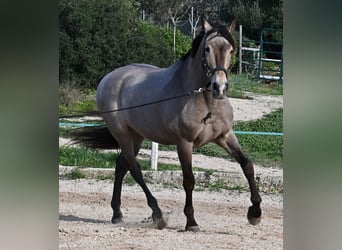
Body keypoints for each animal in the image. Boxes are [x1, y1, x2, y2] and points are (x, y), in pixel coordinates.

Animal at [75, 18, 262, 231]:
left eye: (231, 49)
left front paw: (255, 213)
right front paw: (191, 222)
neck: (203, 100)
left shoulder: (225, 136)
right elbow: (189, 180)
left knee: (121, 166)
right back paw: (157, 214)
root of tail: (108, 79)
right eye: (207, 48)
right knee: (135, 170)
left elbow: (247, 166)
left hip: (136, 136)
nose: (219, 87)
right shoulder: (184, 143)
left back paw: (117, 214)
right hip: (122, 135)